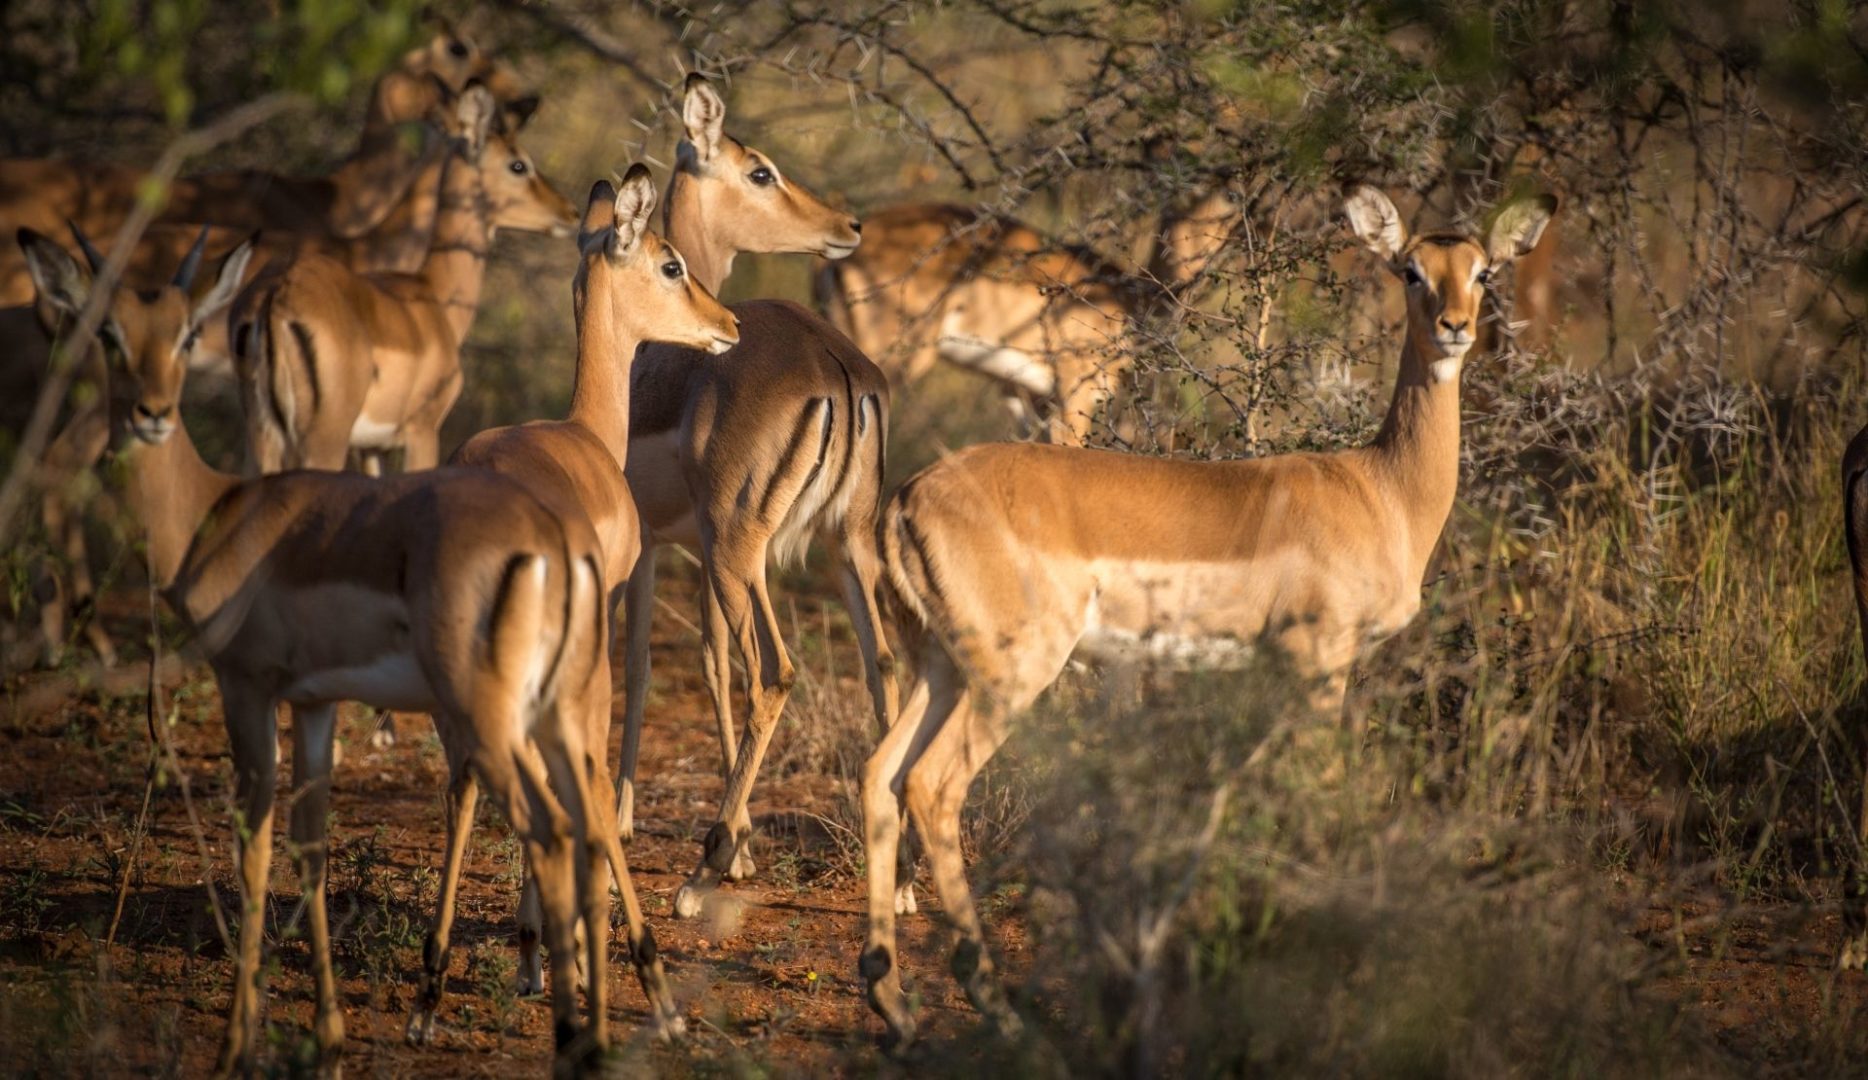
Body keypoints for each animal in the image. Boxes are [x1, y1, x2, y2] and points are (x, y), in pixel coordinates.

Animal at [18, 225, 666, 1076]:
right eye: (110, 332)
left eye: (188, 334)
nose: (151, 413)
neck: (214, 514)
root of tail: (553, 539)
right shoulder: (315, 700)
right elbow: (312, 845)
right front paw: (324, 1036)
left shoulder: (248, 687)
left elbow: (255, 842)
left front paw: (239, 1041)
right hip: (543, 712)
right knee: (576, 821)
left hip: (494, 713)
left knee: (552, 829)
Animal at [230, 84, 577, 475]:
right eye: (518, 164)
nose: (571, 212)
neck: (435, 296)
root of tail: (275, 296)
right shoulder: (422, 431)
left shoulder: (370, 448)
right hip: (321, 441)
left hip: (261, 439)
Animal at [447, 166, 738, 1001]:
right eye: (670, 264)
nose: (729, 322)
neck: (584, 435)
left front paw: (533, 954)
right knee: (586, 783)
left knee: (468, 782)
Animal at [611, 75, 894, 918]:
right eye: (759, 171)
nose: (847, 225)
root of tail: (840, 369)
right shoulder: (691, 546)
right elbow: (708, 659)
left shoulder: (657, 543)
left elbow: (646, 661)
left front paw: (634, 821)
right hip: (839, 545)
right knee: (882, 665)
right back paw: (901, 886)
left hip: (744, 548)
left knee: (774, 669)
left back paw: (698, 877)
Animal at [854, 186, 1557, 1047]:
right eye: (1411, 270)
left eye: (1483, 270)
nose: (1456, 326)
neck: (1381, 490)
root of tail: (909, 496)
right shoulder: (1319, 661)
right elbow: (1322, 786)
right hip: (1010, 675)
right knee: (932, 786)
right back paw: (997, 1009)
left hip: (940, 669)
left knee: (880, 774)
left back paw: (892, 1001)